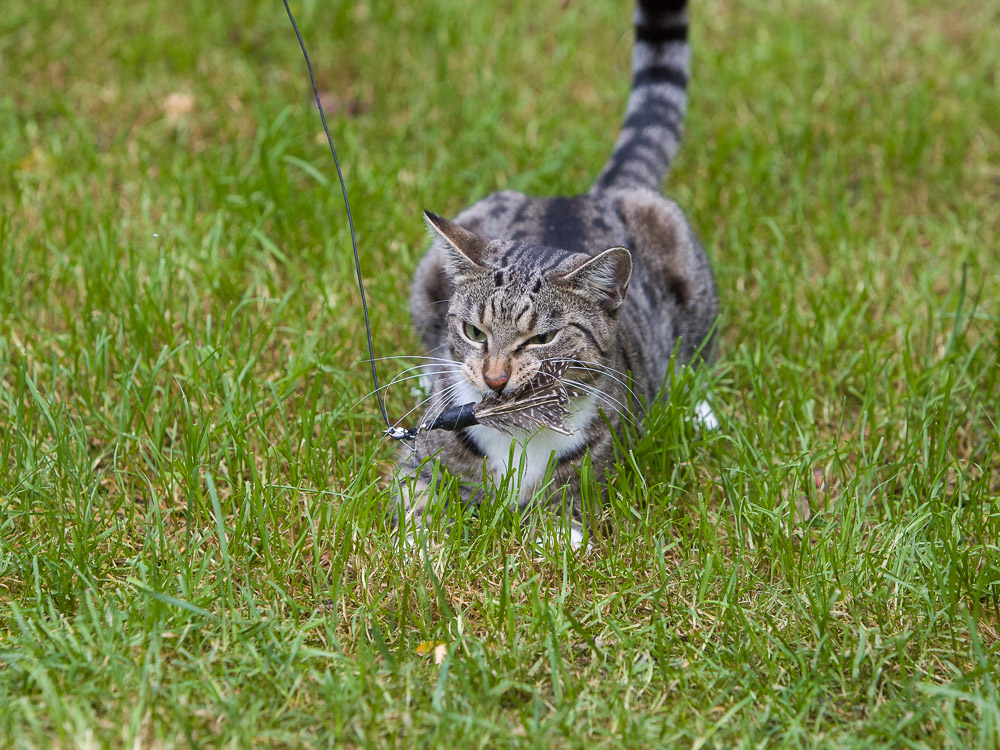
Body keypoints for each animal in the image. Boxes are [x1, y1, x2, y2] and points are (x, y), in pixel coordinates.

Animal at [394, 0, 716, 544]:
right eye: (474, 331)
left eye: (542, 339)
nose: (495, 380)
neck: (518, 433)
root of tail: (588, 194)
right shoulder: (420, 458)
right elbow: (418, 497)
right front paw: (419, 544)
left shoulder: (598, 470)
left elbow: (563, 515)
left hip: (683, 258)